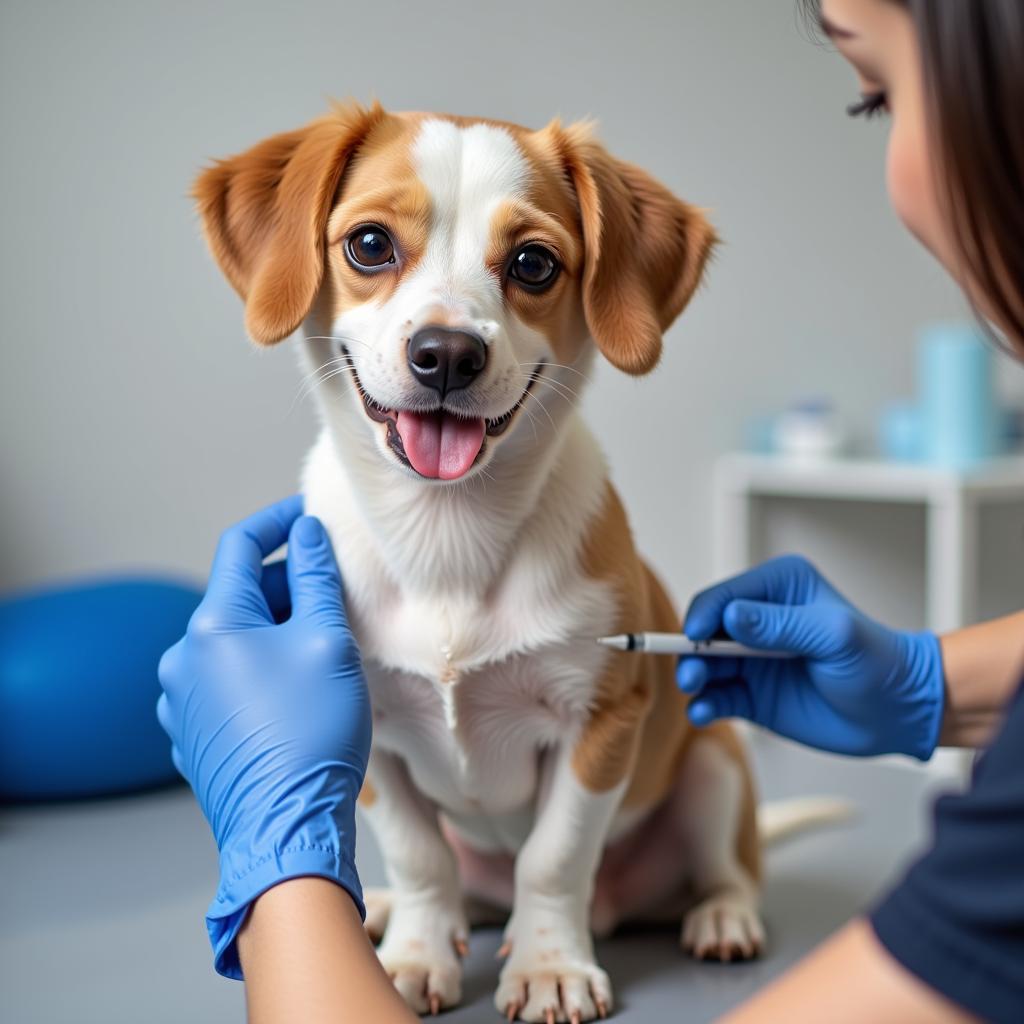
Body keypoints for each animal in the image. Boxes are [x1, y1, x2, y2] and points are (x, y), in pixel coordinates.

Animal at [195, 99, 765, 1019]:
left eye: (533, 263)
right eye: (369, 245)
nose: (447, 354)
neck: (444, 535)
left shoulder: (600, 722)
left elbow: (554, 859)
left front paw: (548, 966)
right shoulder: (369, 737)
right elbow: (421, 857)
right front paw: (414, 956)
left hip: (715, 770)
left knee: (729, 870)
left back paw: (719, 917)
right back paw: (390, 912)